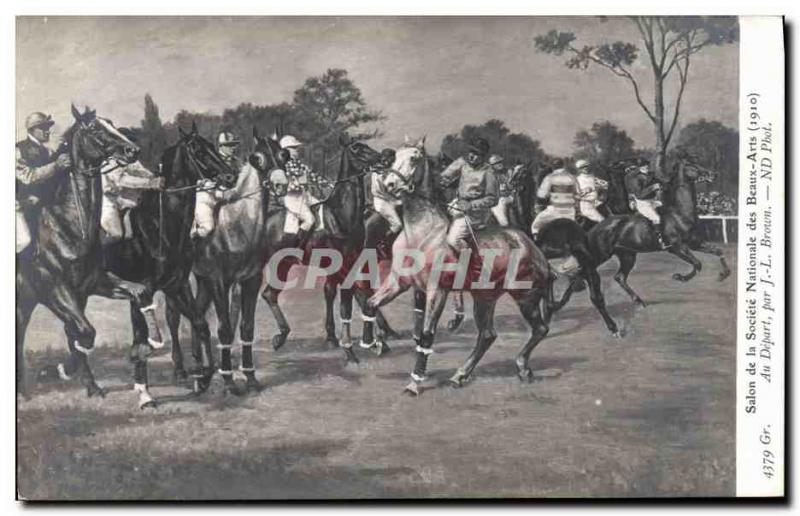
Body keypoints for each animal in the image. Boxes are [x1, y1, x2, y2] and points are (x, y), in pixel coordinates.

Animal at [18, 104, 162, 396]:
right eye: (94, 128)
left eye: (112, 123)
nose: (132, 150)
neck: (70, 225)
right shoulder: (53, 289)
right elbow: (84, 332)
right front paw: (58, 370)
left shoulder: (91, 284)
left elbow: (139, 292)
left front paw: (151, 342)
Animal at [101, 122, 238, 408]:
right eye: (198, 149)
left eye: (211, 145)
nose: (230, 176)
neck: (158, 227)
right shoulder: (143, 291)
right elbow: (142, 339)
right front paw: (145, 394)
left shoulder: (176, 286)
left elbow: (200, 324)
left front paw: (204, 376)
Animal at [366, 141, 552, 396]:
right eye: (394, 157)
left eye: (414, 158)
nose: (390, 184)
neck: (422, 234)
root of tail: (532, 247)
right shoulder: (401, 283)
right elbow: (372, 304)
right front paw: (372, 342)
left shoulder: (437, 291)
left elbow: (426, 335)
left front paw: (415, 382)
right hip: (485, 299)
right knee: (488, 335)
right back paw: (460, 375)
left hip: (526, 298)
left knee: (540, 329)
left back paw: (522, 367)